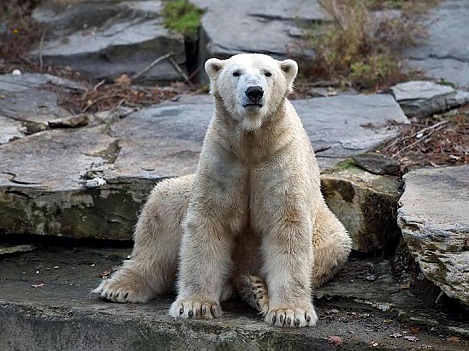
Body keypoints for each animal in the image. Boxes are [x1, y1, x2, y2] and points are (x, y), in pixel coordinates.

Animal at [92, 53, 352, 328]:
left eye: (268, 73)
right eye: (236, 73)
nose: (254, 92)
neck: (252, 143)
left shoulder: (281, 160)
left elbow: (287, 226)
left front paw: (290, 313)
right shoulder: (223, 159)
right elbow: (208, 221)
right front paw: (195, 306)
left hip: (329, 231)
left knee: (331, 248)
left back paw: (255, 289)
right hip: (183, 194)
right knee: (161, 211)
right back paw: (119, 287)